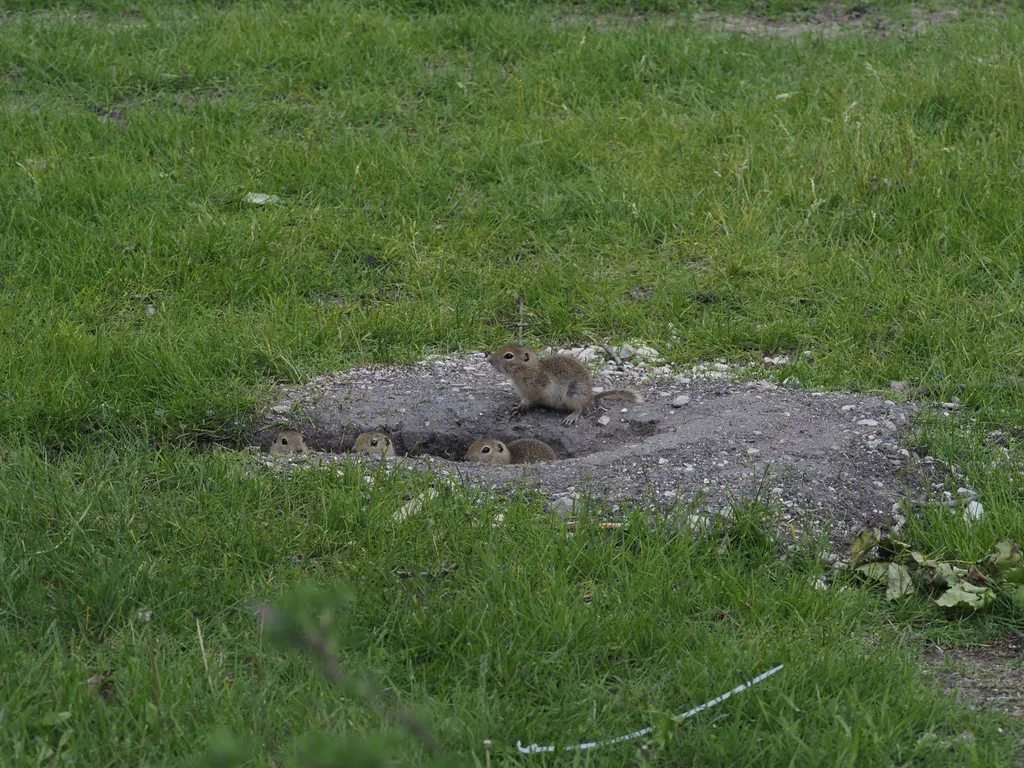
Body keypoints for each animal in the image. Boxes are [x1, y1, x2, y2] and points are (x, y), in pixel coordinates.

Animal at [485, 348, 638, 428]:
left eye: (508, 355)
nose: (489, 360)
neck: (530, 370)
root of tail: (590, 396)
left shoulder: (537, 389)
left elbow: (531, 399)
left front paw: (521, 406)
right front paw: (518, 405)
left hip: (574, 393)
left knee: (580, 407)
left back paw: (571, 416)